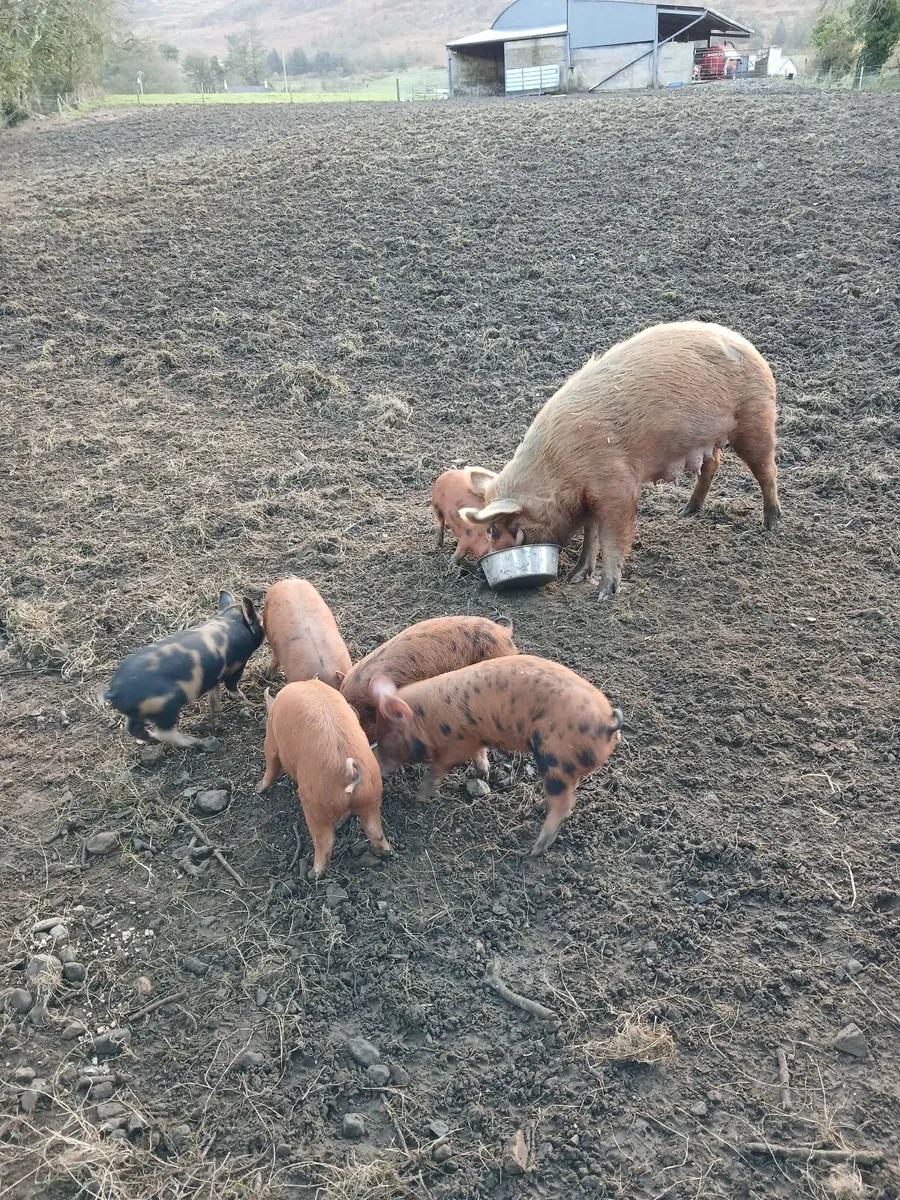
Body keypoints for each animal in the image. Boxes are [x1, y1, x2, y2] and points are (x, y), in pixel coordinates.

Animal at [105, 590, 263, 747]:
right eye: (259, 620)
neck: (230, 619)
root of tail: (115, 691)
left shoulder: (214, 676)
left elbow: (214, 694)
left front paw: (217, 710)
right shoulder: (237, 665)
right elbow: (232, 685)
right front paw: (243, 698)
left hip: (137, 713)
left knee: (133, 728)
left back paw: (153, 739)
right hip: (165, 706)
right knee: (164, 732)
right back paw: (199, 741)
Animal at [256, 680, 391, 877]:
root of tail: (350, 773)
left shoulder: (271, 739)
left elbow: (271, 762)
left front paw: (258, 788)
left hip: (314, 805)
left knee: (324, 841)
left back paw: (313, 873)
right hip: (372, 795)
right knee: (375, 830)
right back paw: (387, 852)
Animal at [370, 655, 622, 856]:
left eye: (388, 736)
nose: (377, 766)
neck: (428, 718)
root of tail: (607, 721)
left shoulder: (457, 744)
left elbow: (437, 769)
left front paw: (419, 798)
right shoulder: (476, 739)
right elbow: (480, 754)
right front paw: (484, 773)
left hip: (556, 760)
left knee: (564, 804)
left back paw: (534, 850)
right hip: (567, 766)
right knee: (569, 796)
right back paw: (539, 808)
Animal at [458, 320, 781, 600]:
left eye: (497, 529)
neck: (559, 468)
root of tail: (745, 343)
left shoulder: (615, 486)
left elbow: (612, 536)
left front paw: (603, 594)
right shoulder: (588, 497)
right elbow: (590, 536)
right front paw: (576, 577)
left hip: (755, 419)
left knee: (767, 470)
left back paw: (770, 523)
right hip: (710, 440)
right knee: (713, 464)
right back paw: (686, 511)